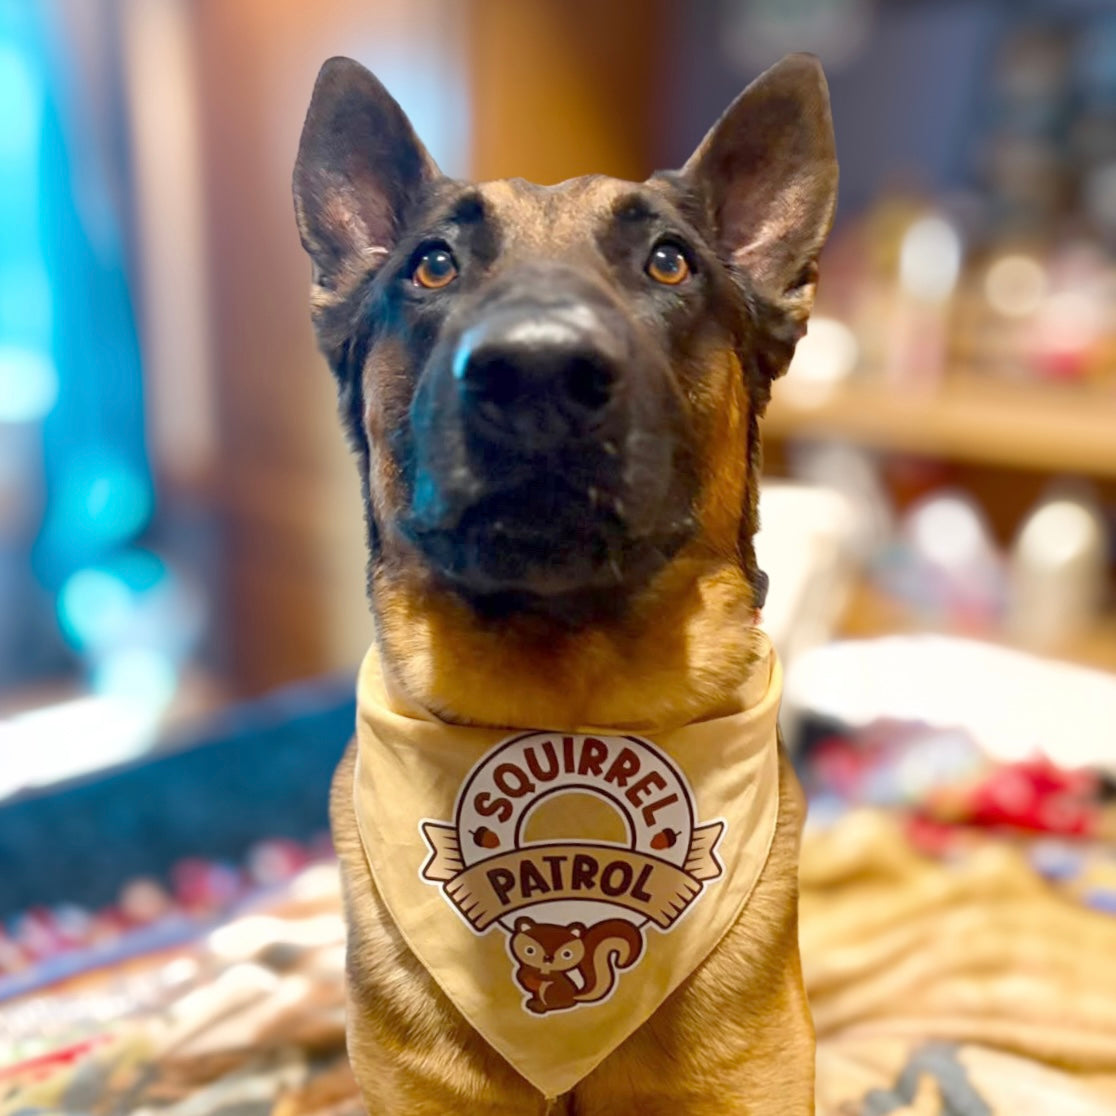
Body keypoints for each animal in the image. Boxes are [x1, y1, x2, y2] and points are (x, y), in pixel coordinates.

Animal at [509, 916, 644, 1014]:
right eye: (530, 950)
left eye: (567, 954)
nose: (548, 958)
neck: (544, 968)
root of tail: (574, 997)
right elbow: (524, 974)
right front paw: (526, 976)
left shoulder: (553, 976)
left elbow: (547, 977)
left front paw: (537, 977)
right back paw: (534, 1003)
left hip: (549, 990)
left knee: (558, 1004)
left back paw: (541, 1006)